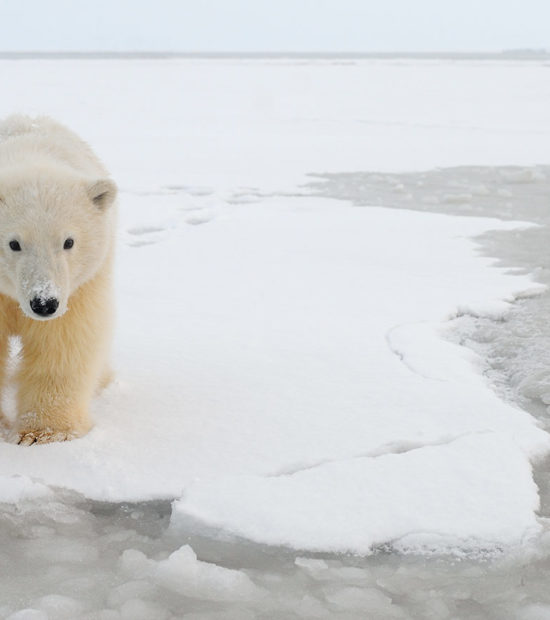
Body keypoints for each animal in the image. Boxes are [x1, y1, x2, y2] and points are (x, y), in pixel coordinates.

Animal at [0, 115, 116, 446]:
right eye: (14, 243)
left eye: (69, 241)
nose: (43, 303)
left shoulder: (79, 289)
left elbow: (63, 342)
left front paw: (43, 433)